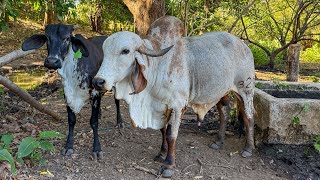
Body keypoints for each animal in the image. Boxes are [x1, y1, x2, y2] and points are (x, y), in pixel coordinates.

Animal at [21, 24, 123, 160]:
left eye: (67, 38)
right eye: (47, 38)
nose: (52, 61)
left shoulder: (95, 92)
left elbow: (93, 122)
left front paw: (96, 148)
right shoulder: (67, 94)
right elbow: (71, 120)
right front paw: (68, 146)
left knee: (117, 101)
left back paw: (120, 122)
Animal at [92, 15, 255, 177]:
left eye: (125, 51)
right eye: (104, 51)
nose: (98, 81)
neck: (158, 64)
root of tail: (244, 46)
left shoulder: (178, 105)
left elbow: (171, 134)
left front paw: (169, 164)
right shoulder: (161, 106)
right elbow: (163, 130)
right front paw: (161, 153)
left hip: (246, 90)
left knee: (249, 117)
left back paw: (248, 148)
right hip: (222, 93)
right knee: (224, 113)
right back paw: (219, 141)